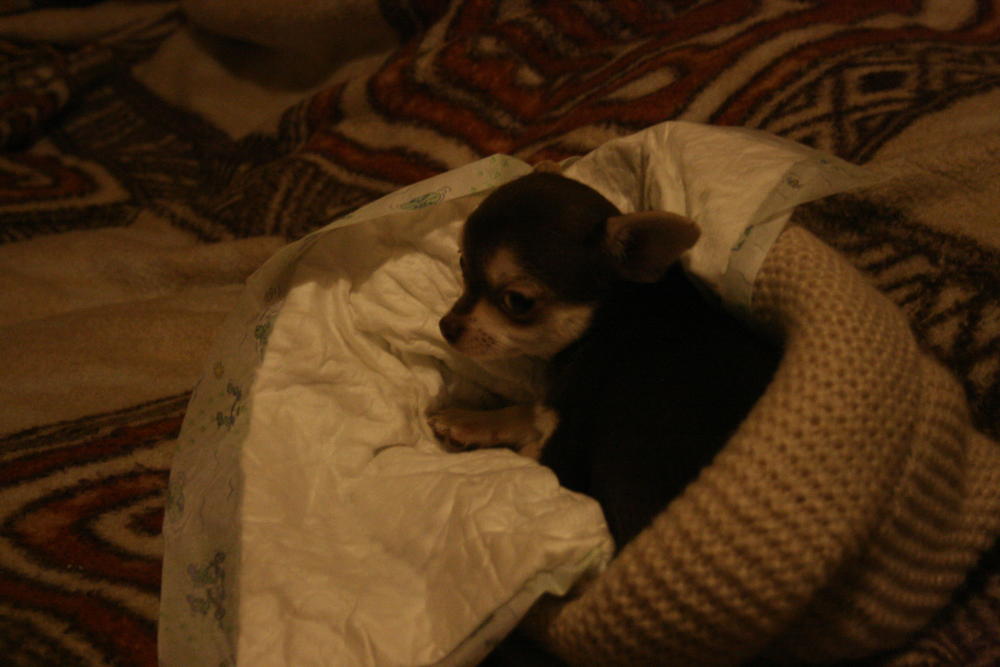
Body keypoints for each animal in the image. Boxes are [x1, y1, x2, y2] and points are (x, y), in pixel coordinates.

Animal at [429, 168, 780, 547]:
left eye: (518, 301)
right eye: (461, 262)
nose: (446, 326)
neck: (612, 314)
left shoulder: (560, 457)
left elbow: (528, 432)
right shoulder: (558, 410)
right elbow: (528, 410)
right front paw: (466, 419)